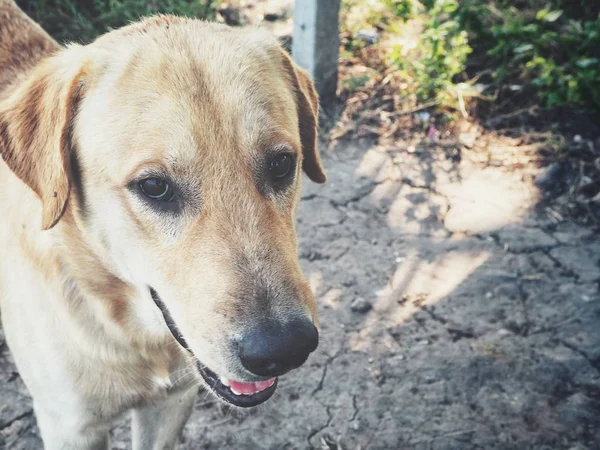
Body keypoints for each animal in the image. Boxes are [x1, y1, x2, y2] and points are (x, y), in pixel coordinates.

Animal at [0, 1, 326, 448]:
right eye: (154, 186)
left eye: (281, 164)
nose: (285, 349)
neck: (130, 334)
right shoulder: (70, 426)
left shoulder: (171, 403)